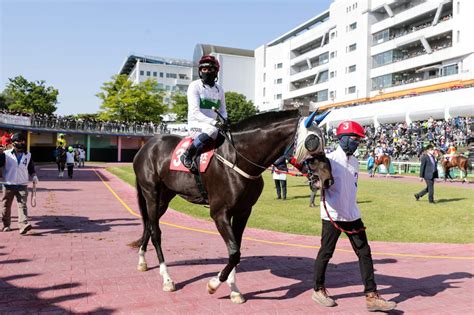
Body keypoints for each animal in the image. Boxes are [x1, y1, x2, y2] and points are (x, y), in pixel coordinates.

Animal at [131, 110, 334, 304]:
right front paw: (213, 284)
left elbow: (236, 249)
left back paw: (141, 261)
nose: (327, 179)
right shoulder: (219, 213)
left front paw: (234, 290)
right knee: (156, 232)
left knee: (149, 225)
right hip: (151, 193)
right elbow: (235, 252)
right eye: (312, 141)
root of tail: (147, 145)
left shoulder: (243, 211)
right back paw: (167, 279)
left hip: (164, 197)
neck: (237, 159)